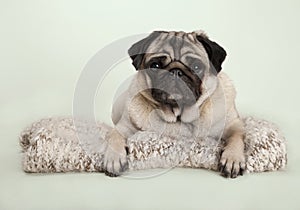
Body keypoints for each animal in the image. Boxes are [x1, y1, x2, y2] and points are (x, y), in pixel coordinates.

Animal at [102, 29, 245, 178]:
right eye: (155, 66)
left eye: (196, 67)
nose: (176, 71)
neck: (178, 114)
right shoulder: (124, 126)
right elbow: (114, 135)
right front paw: (114, 158)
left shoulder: (234, 125)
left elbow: (237, 137)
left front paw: (232, 158)